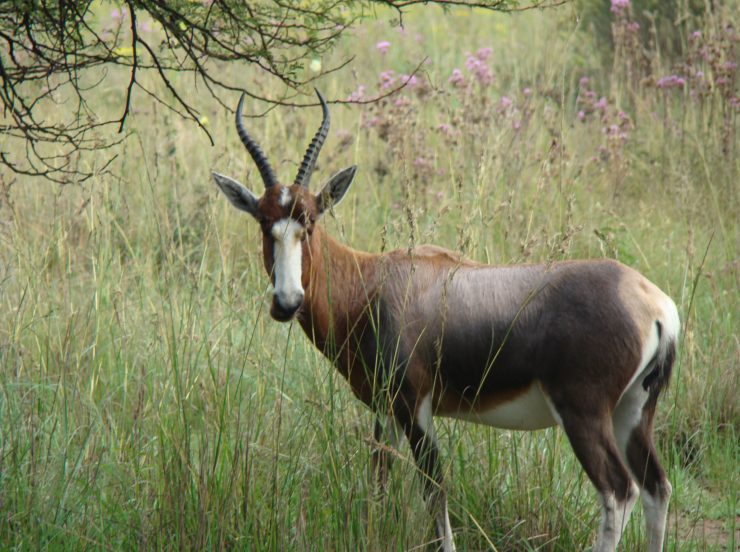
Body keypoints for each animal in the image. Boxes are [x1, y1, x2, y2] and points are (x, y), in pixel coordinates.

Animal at [211, 90, 680, 552]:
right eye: (264, 222)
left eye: (308, 223)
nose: (287, 302)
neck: (374, 282)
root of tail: (654, 305)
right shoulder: (388, 411)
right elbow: (379, 481)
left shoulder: (414, 406)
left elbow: (434, 487)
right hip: (633, 410)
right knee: (656, 487)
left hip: (585, 413)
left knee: (618, 492)